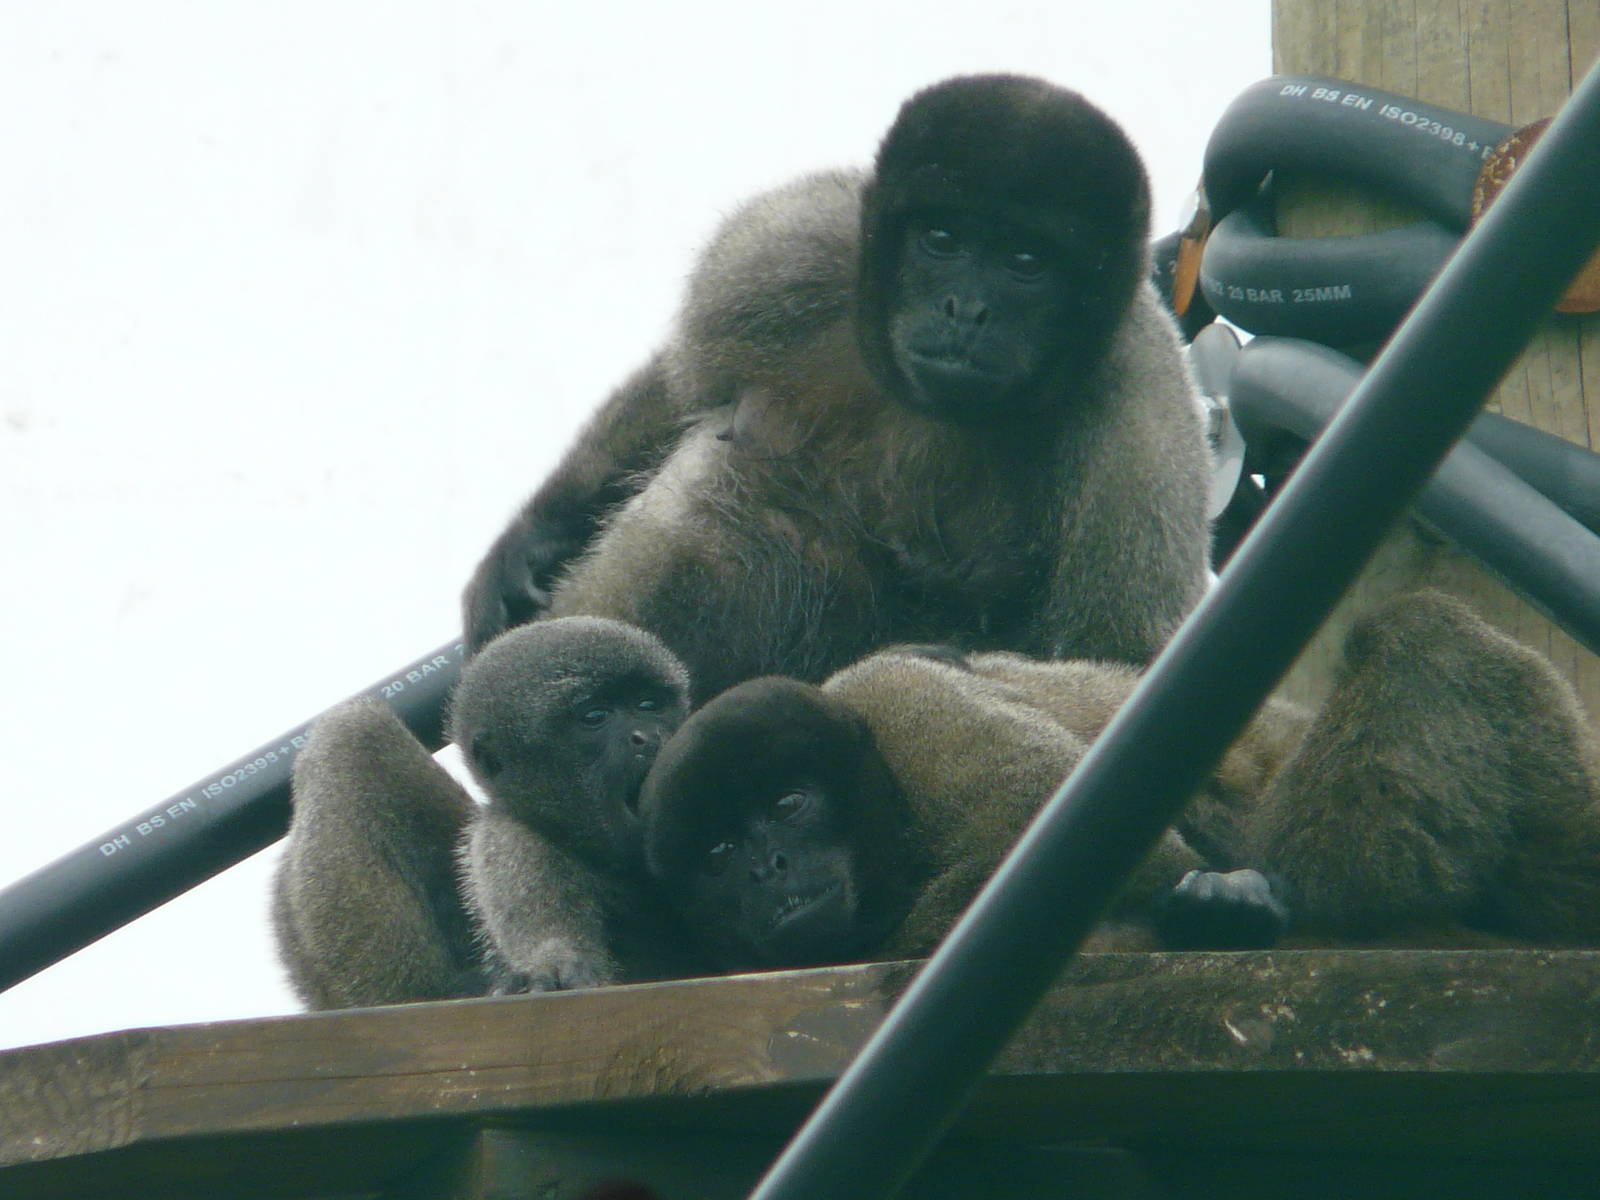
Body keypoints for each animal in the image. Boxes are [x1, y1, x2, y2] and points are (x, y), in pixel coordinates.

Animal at [272, 616, 707, 1009]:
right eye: (595, 717)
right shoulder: (514, 834)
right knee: (351, 732)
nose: (646, 736)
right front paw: (554, 961)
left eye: (648, 705)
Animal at [463, 75, 1212, 703]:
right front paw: (532, 539)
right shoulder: (788, 248)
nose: (966, 309)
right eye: (942, 238)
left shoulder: (1143, 423)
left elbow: (1115, 661)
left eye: (1026, 261)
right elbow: (686, 386)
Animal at [638, 592, 1600, 970]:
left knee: (1418, 624)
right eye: (720, 854)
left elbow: (1030, 811)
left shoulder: (897, 703)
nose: (766, 868)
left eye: (789, 806)